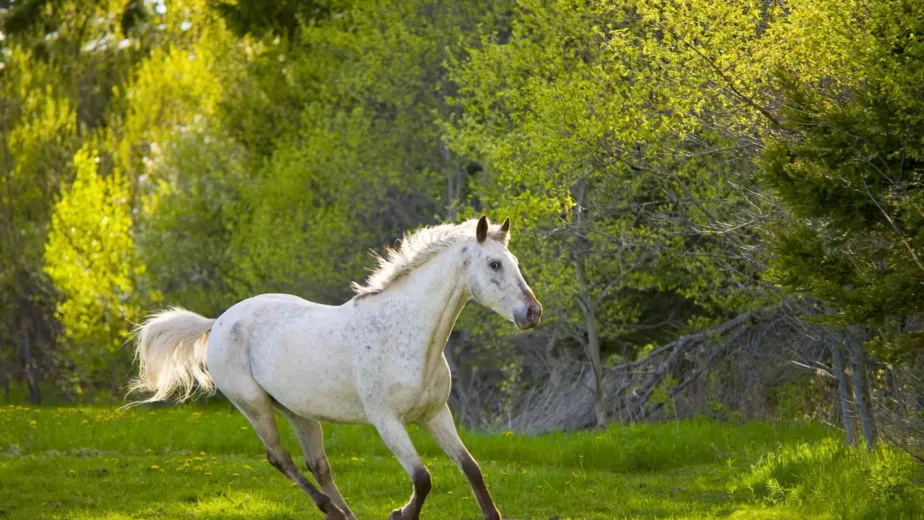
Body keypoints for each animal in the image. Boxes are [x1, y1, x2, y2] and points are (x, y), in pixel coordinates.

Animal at [127, 215, 542, 520]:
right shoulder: (387, 421)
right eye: (494, 264)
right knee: (281, 458)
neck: (405, 334)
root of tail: (217, 322)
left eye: (515, 264)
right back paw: (331, 510)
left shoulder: (436, 414)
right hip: (254, 406)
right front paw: (398, 513)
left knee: (318, 464)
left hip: (298, 411)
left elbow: (471, 469)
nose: (532, 313)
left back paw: (345, 515)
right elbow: (423, 479)